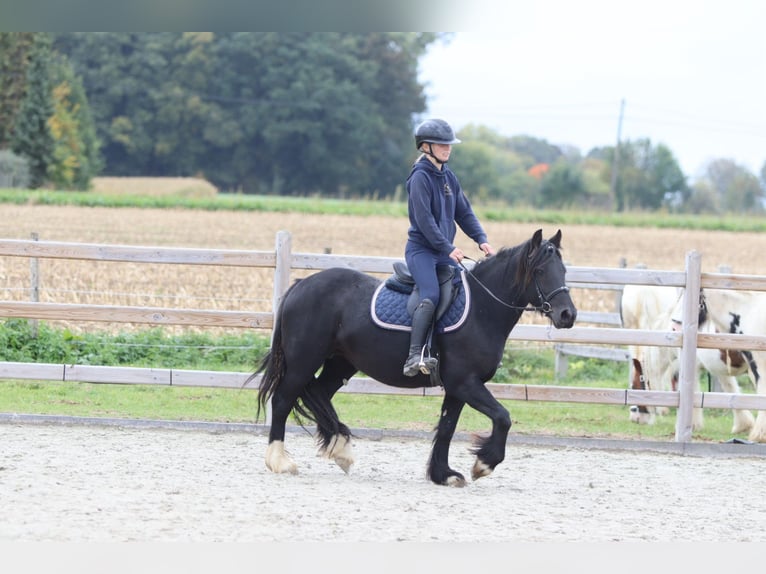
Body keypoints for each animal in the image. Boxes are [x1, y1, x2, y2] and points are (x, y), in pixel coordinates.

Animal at [248, 229, 578, 486]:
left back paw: (340, 450)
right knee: (283, 400)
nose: (568, 315)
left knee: (318, 393)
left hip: (341, 363)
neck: (482, 309)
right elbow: (503, 417)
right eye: (539, 271)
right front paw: (483, 464)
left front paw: (443, 474)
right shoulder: (465, 383)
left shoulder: (457, 389)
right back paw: (280, 461)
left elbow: (447, 428)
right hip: (303, 360)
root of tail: (301, 285)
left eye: (563, 271)